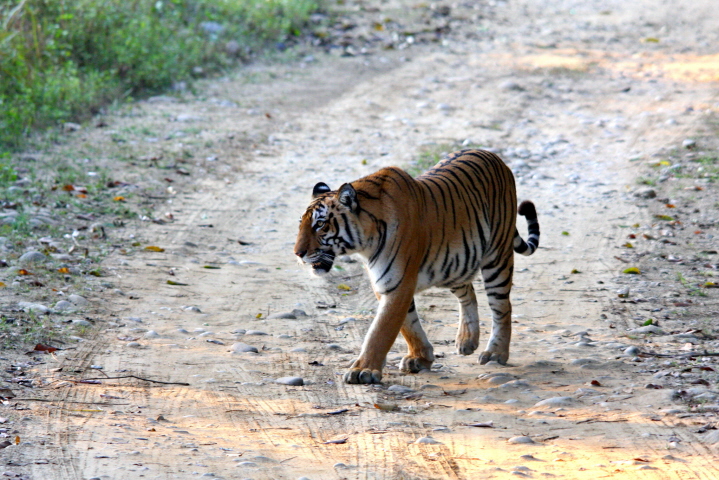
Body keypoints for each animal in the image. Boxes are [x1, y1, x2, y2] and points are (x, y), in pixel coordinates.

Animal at [294, 148, 540, 384]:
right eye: (301, 224)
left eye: (320, 224)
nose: (298, 253)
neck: (365, 243)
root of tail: (495, 157)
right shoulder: (387, 284)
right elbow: (408, 325)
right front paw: (420, 357)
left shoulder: (398, 284)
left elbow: (381, 330)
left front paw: (363, 370)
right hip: (455, 264)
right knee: (468, 292)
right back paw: (467, 341)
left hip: (497, 257)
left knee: (502, 307)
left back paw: (496, 353)